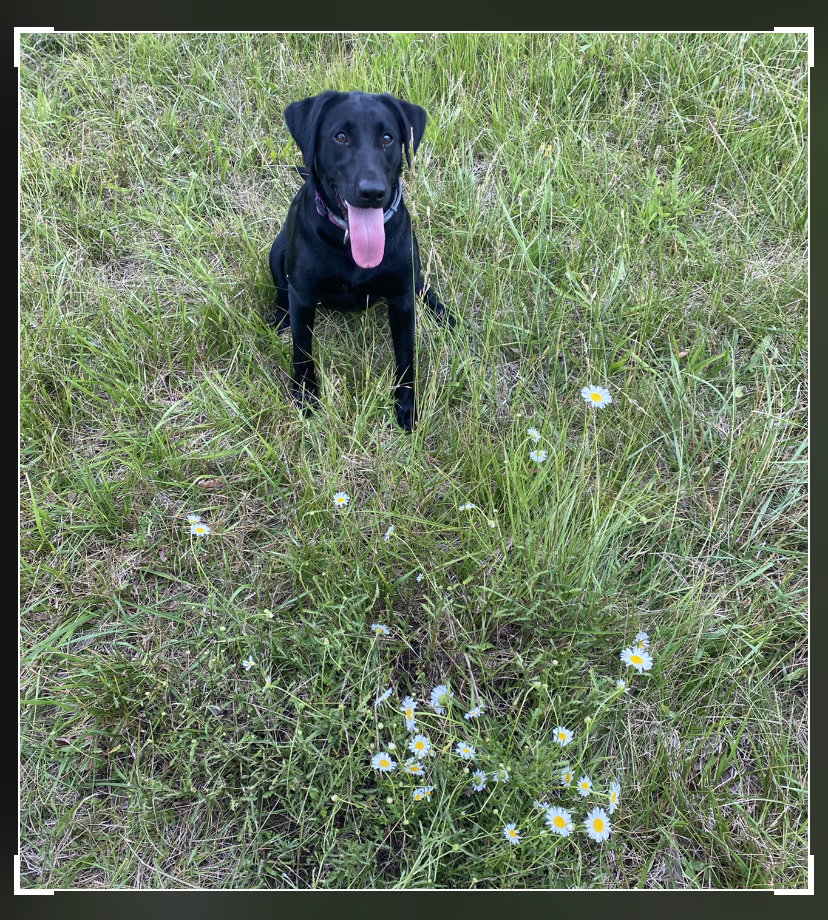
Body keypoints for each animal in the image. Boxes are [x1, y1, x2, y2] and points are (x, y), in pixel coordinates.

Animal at [266, 90, 450, 432]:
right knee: (282, 293)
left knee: (423, 288)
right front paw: (306, 398)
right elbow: (302, 352)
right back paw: (280, 320)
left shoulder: (402, 301)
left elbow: (406, 359)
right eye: (340, 137)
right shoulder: (303, 297)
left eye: (388, 138)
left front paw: (406, 409)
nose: (372, 192)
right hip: (277, 253)